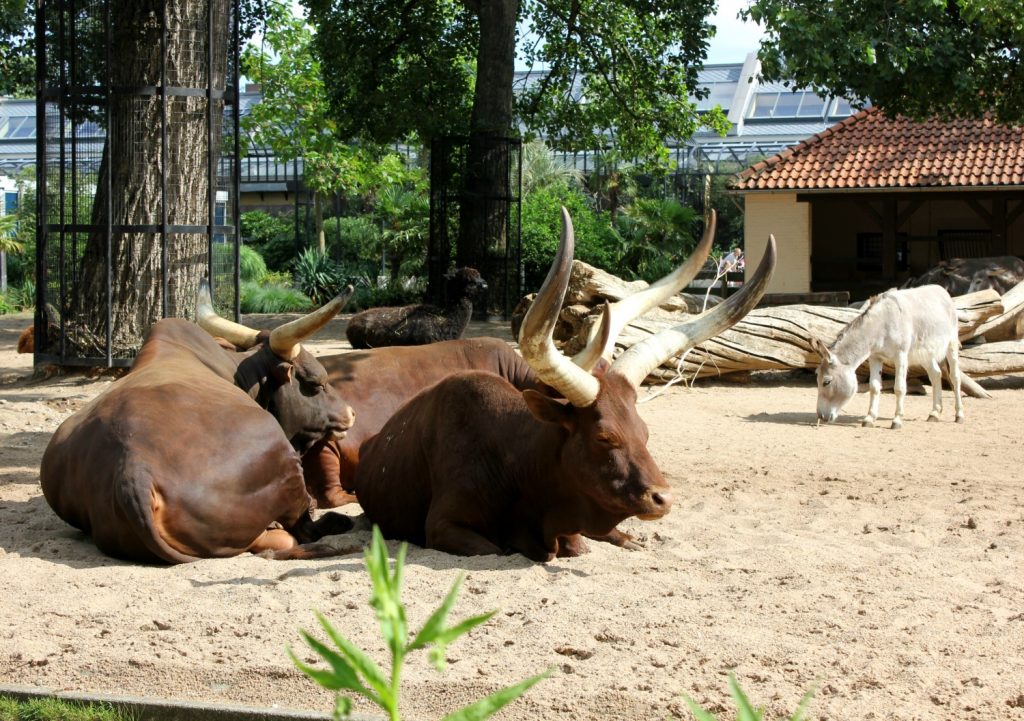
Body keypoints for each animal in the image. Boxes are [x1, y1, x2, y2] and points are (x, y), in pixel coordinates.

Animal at [348, 208, 776, 561]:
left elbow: (580, 544)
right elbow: (498, 549)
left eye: (645, 432)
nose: (663, 498)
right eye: (604, 437)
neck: (514, 461)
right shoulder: (443, 527)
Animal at [810, 285, 965, 430]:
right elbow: (874, 387)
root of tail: (942, 290)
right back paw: (934, 413)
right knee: (936, 374)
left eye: (826, 382)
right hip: (925, 353)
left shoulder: (900, 355)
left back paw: (959, 415)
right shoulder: (875, 357)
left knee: (955, 377)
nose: (821, 416)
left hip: (951, 344)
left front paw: (897, 420)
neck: (881, 325)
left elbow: (899, 388)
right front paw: (869, 418)